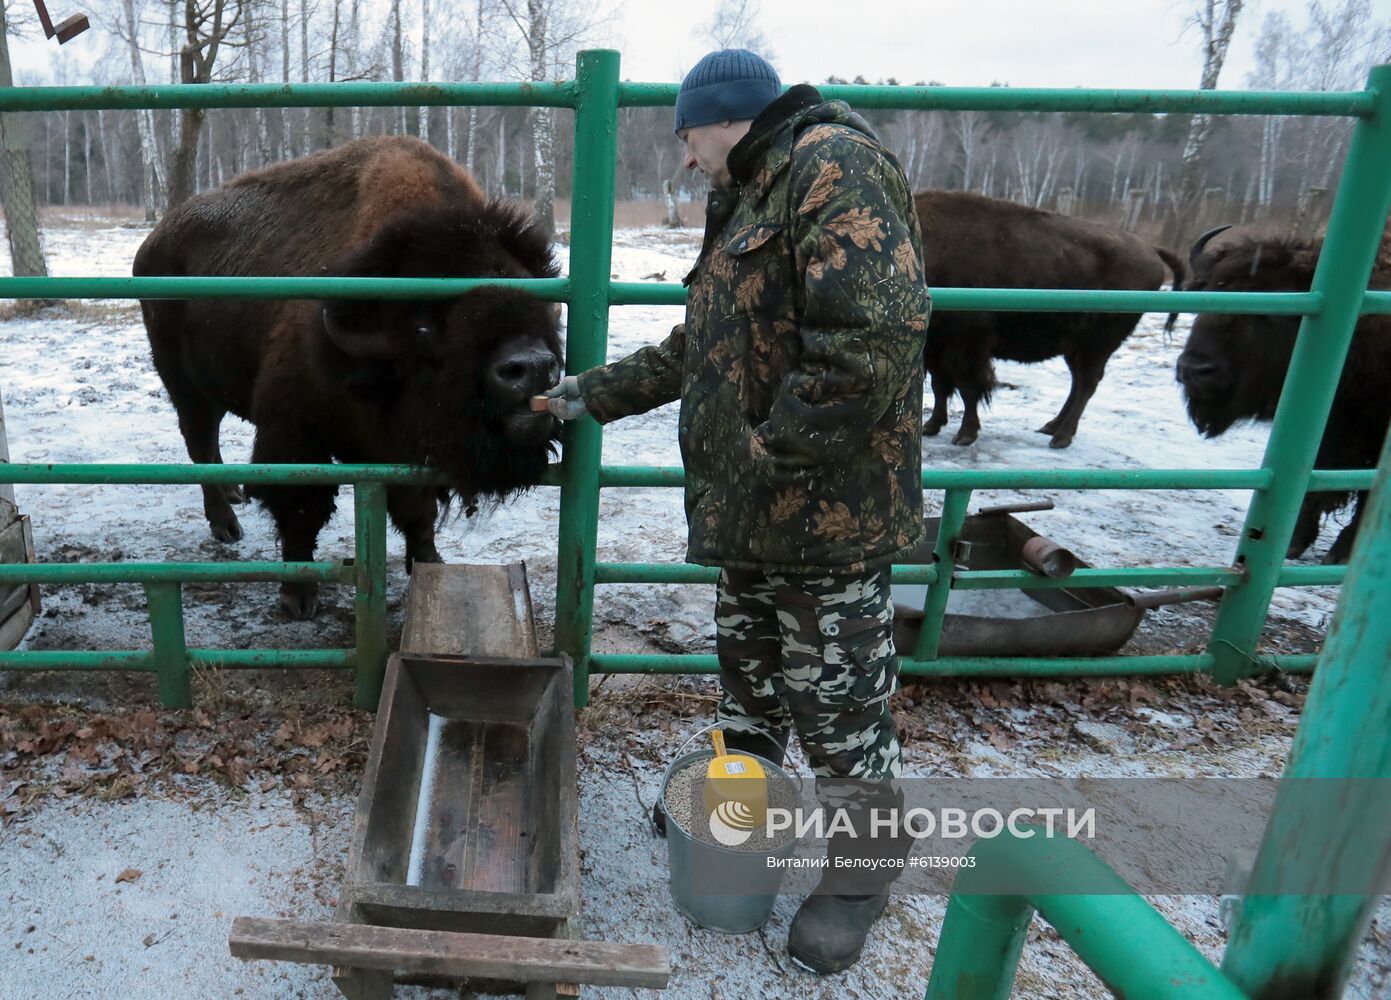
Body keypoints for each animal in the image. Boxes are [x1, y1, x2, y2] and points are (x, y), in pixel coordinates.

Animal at [132, 134, 559, 617]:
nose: (532, 367)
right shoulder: (297, 435)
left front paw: (429, 565)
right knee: (201, 444)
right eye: (424, 328)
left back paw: (236, 495)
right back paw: (227, 525)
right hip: (186, 388)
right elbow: (302, 510)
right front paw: (298, 597)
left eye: (542, 311)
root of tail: (153, 242)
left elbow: (418, 512)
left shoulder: (405, 452)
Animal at [912, 189, 1185, 447]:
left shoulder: (967, 346)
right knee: (1078, 382)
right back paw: (1052, 426)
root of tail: (1151, 250)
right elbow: (941, 386)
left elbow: (968, 387)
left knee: (1087, 382)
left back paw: (1061, 437)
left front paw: (965, 434)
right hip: (1075, 347)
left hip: (1099, 345)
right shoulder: (936, 349)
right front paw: (931, 426)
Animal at [1174, 230, 1391, 567]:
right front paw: (1294, 544)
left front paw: (1340, 554)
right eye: (1210, 293)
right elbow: (1310, 485)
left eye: (1273, 312)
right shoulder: (1328, 432)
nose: (1194, 370)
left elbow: (1367, 495)